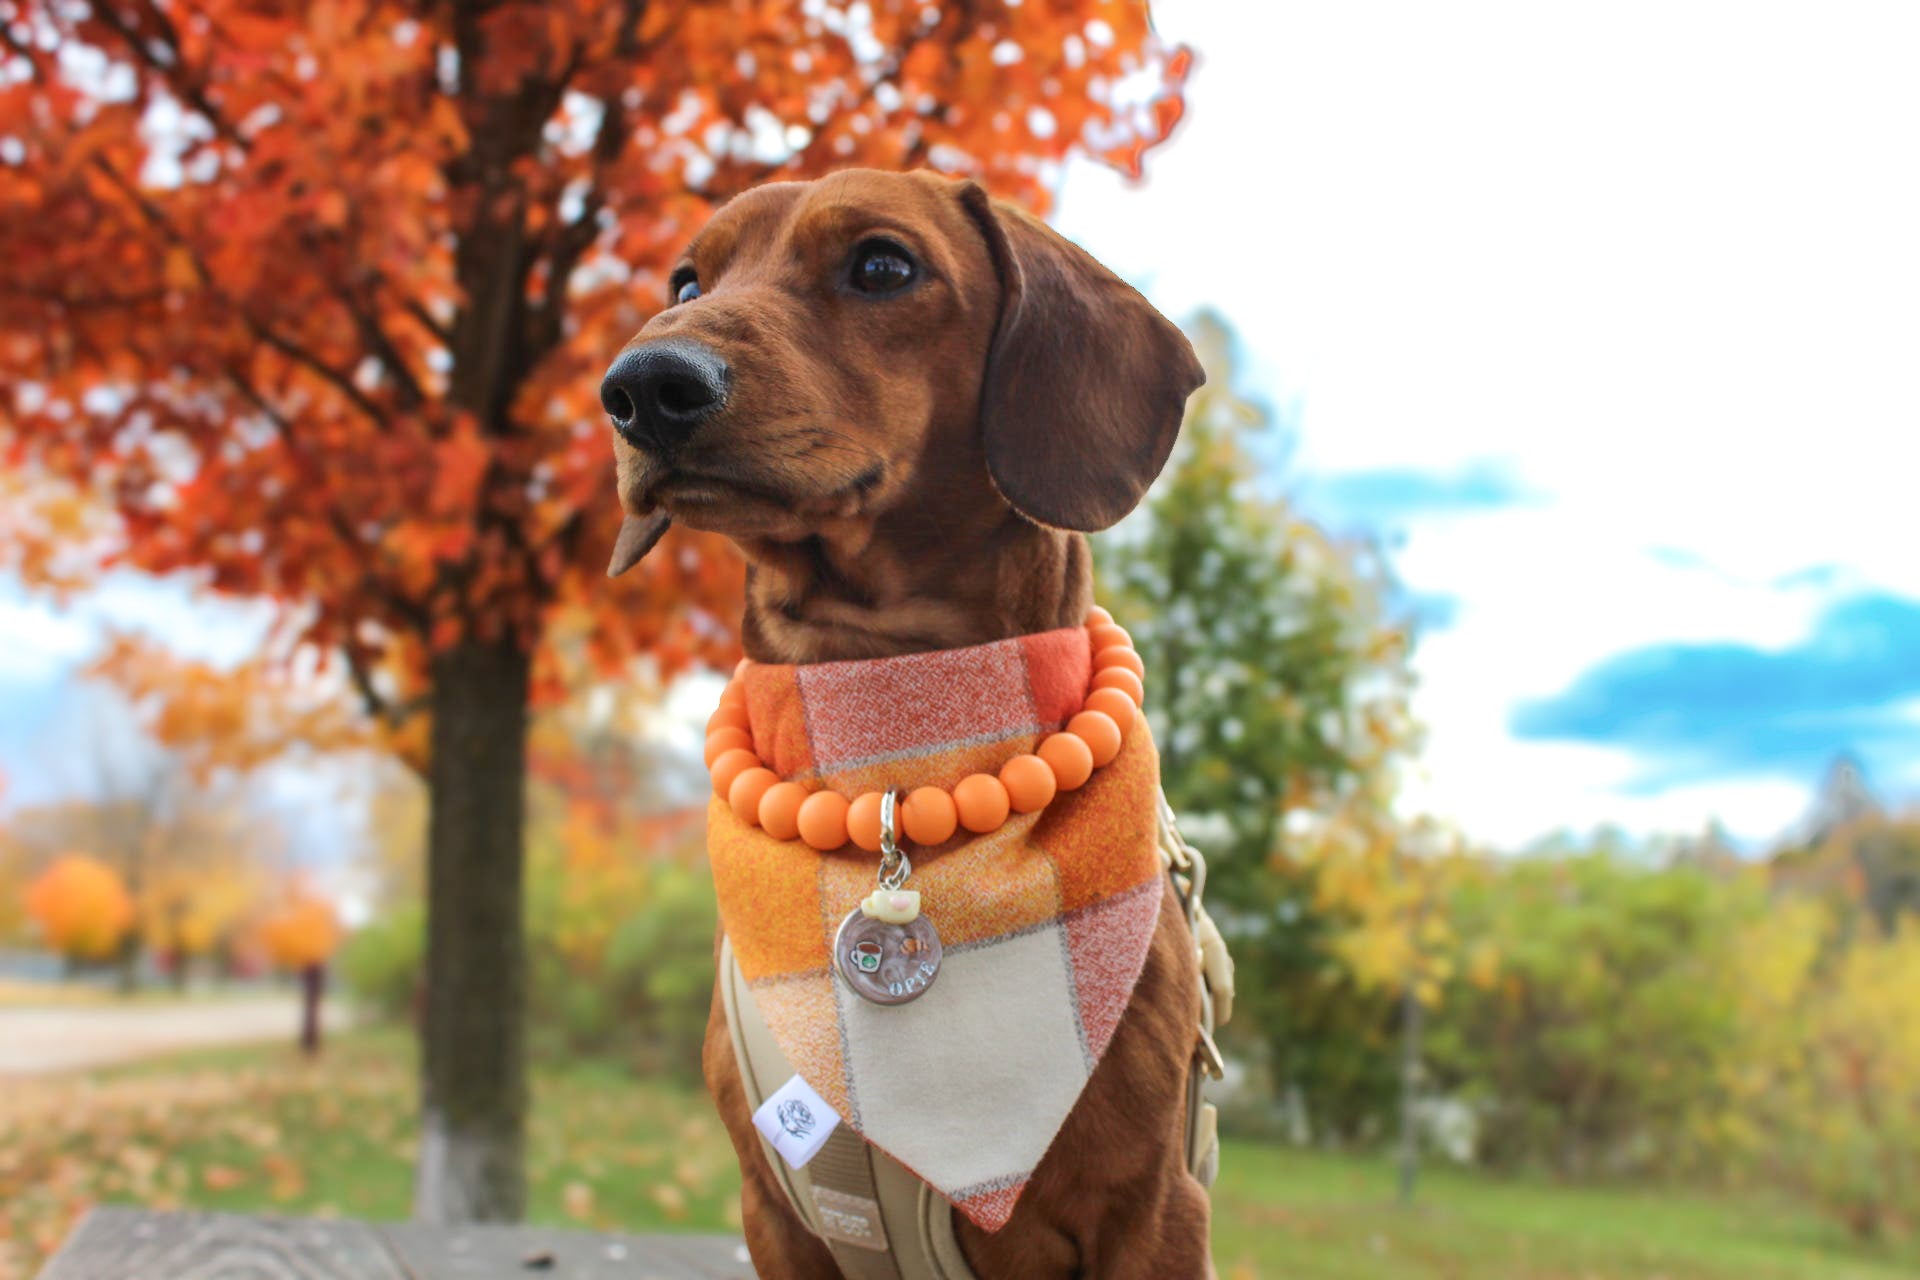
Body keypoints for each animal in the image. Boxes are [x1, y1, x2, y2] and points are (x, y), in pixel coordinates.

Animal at [604, 168, 1210, 1278]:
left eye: (883, 265)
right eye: (686, 279)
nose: (642, 385)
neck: (890, 746)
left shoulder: (1154, 1212)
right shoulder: (773, 1209)